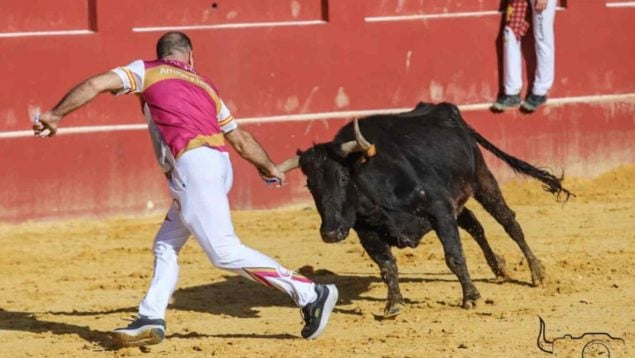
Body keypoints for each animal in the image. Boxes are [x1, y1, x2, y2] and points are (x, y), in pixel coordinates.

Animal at [278, 103, 572, 316]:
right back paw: (499, 267)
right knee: (474, 223)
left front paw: (471, 297)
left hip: (481, 178)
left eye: (341, 178)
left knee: (508, 221)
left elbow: (454, 256)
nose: (330, 233)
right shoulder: (367, 232)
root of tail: (446, 108)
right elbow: (387, 266)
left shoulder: (439, 210)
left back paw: (537, 272)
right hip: (456, 198)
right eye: (309, 184)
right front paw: (394, 304)